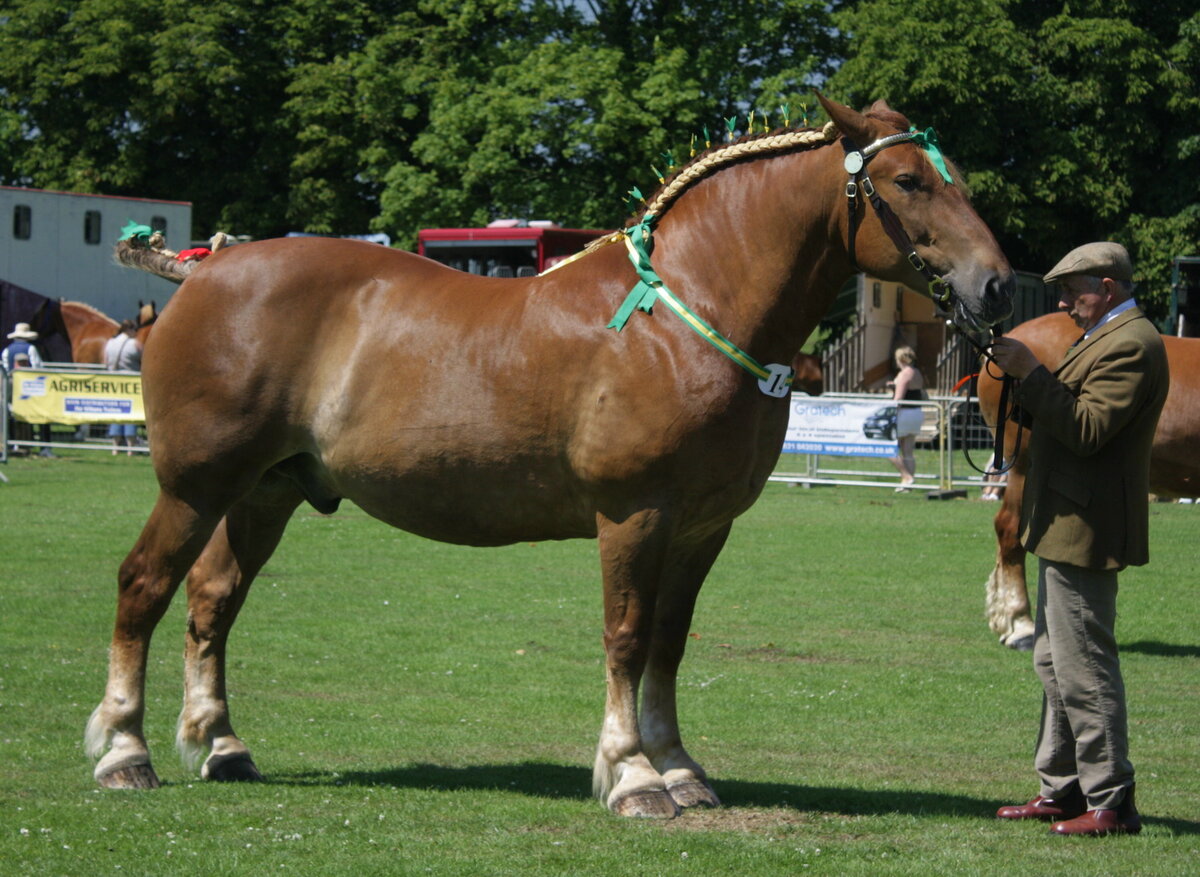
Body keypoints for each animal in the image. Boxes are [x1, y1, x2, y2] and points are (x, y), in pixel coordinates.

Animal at [87, 95, 1012, 815]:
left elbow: (670, 642)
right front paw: (633, 775)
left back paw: (222, 745)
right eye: (908, 181)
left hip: (265, 491)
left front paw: (679, 767)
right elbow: (627, 636)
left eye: (957, 179)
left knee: (213, 598)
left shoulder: (703, 527)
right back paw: (125, 751)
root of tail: (204, 272)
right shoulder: (634, 514)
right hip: (196, 485)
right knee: (143, 585)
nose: (998, 287)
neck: (680, 317)